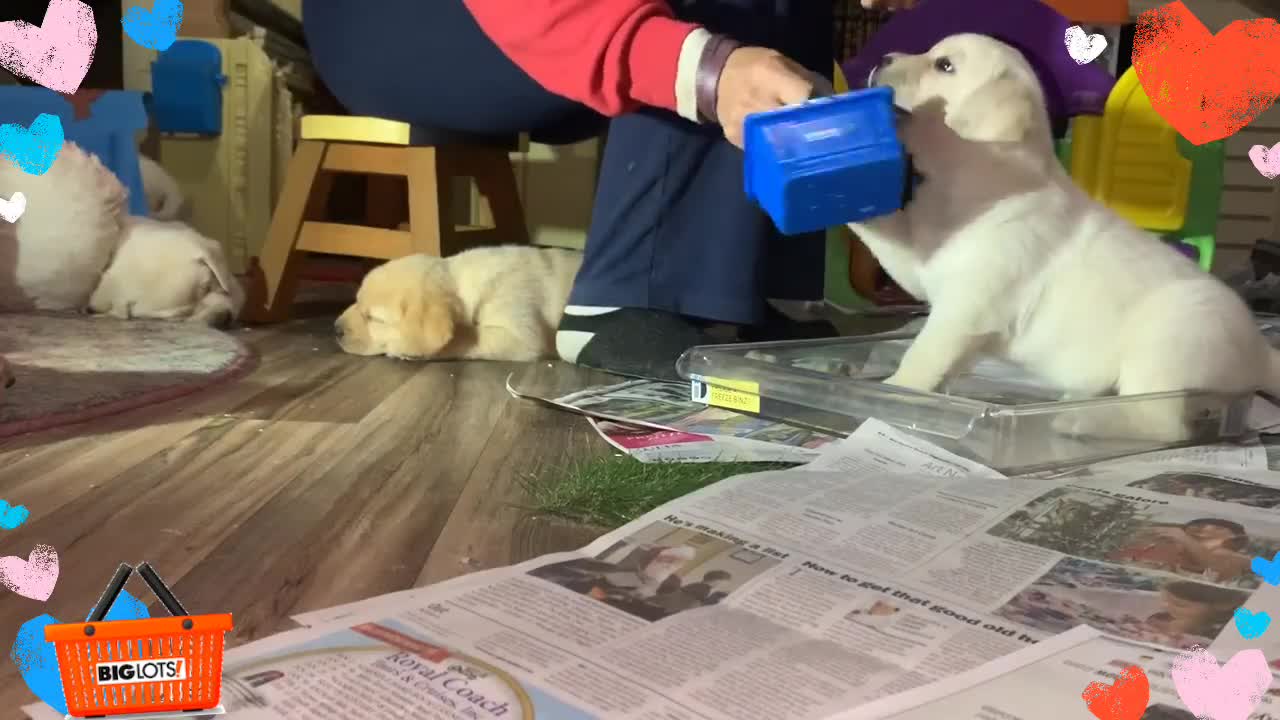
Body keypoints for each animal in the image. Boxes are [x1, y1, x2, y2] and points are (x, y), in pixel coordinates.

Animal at [849, 35, 1280, 443]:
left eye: (944, 65)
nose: (882, 58)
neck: (984, 172)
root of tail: (1261, 352)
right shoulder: (922, 266)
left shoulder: (966, 307)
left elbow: (923, 355)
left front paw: (897, 390)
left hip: (1168, 343)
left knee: (1164, 422)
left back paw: (1080, 420)